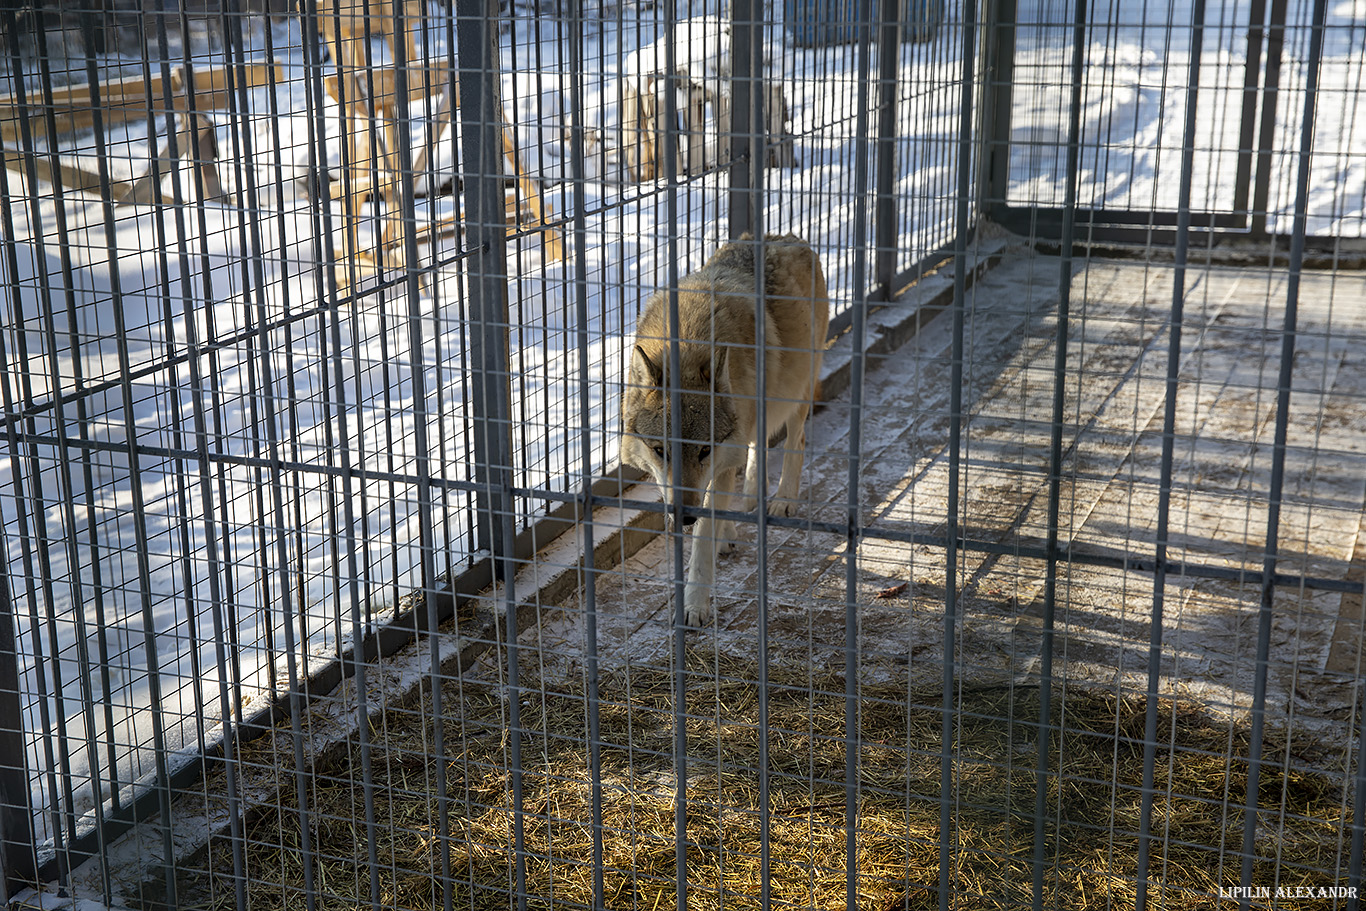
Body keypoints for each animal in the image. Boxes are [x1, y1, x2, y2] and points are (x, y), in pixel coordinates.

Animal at [622, 233, 830, 628]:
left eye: (703, 450)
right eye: (660, 450)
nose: (684, 517)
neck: (687, 347)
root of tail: (789, 238)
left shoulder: (719, 456)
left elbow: (703, 539)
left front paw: (694, 606)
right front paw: (725, 532)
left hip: (796, 391)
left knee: (796, 440)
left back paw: (782, 500)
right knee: (756, 448)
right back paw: (750, 497)